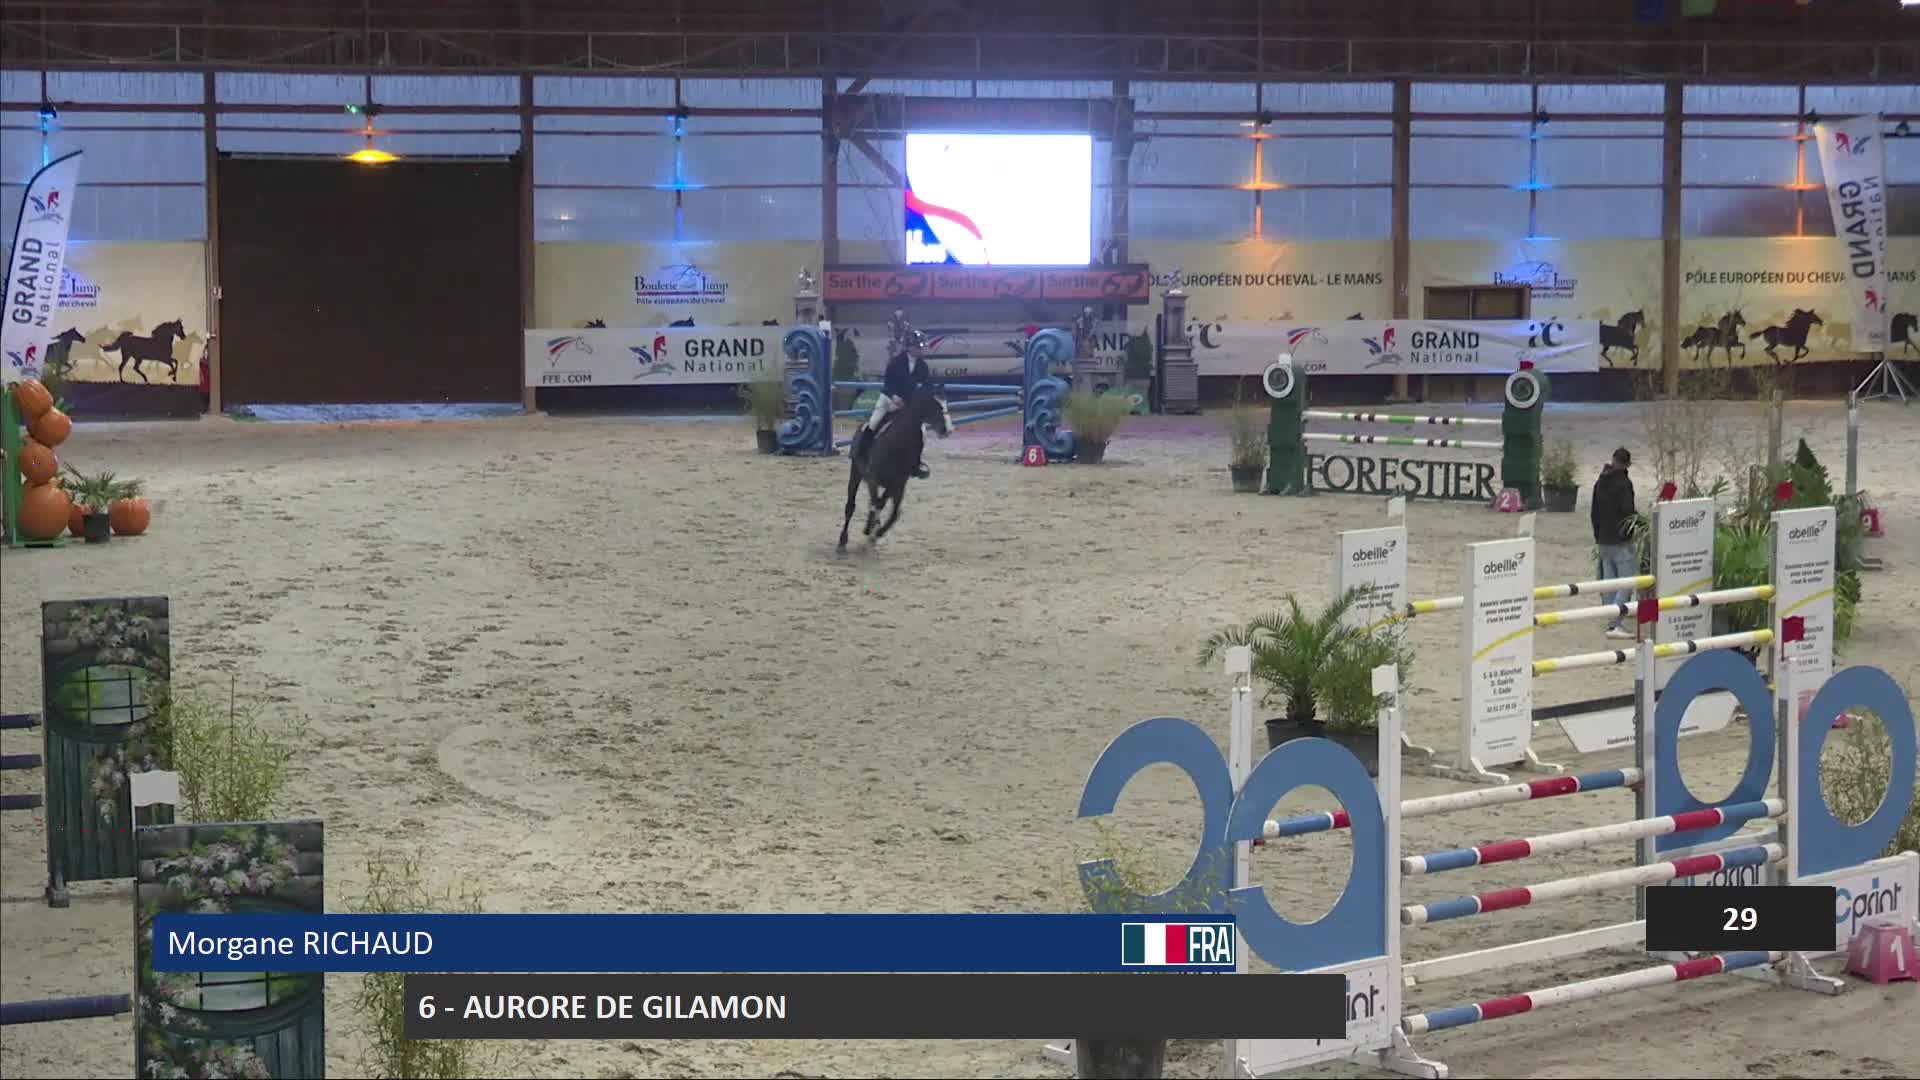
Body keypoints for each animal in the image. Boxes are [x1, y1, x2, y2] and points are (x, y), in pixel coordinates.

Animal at [837, 388, 952, 551]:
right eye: (936, 406)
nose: (947, 430)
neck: (897, 444)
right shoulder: (873, 479)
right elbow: (877, 504)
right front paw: (870, 529)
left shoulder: (898, 484)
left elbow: (894, 512)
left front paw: (877, 532)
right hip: (856, 474)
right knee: (851, 506)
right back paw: (843, 539)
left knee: (877, 503)